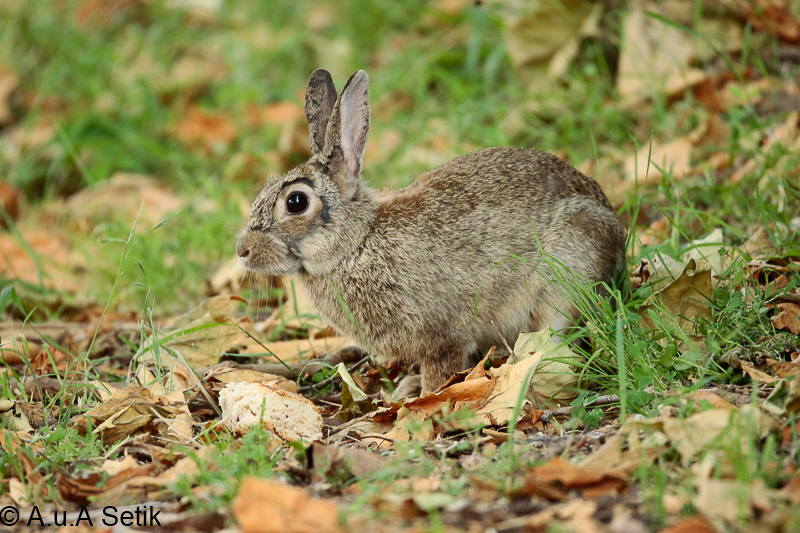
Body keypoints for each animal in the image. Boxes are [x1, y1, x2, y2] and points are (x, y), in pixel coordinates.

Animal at [234, 68, 628, 394]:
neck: (356, 245)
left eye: (296, 202)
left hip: (565, 277)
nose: (243, 250)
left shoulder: (443, 335)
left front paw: (421, 400)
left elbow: (441, 370)